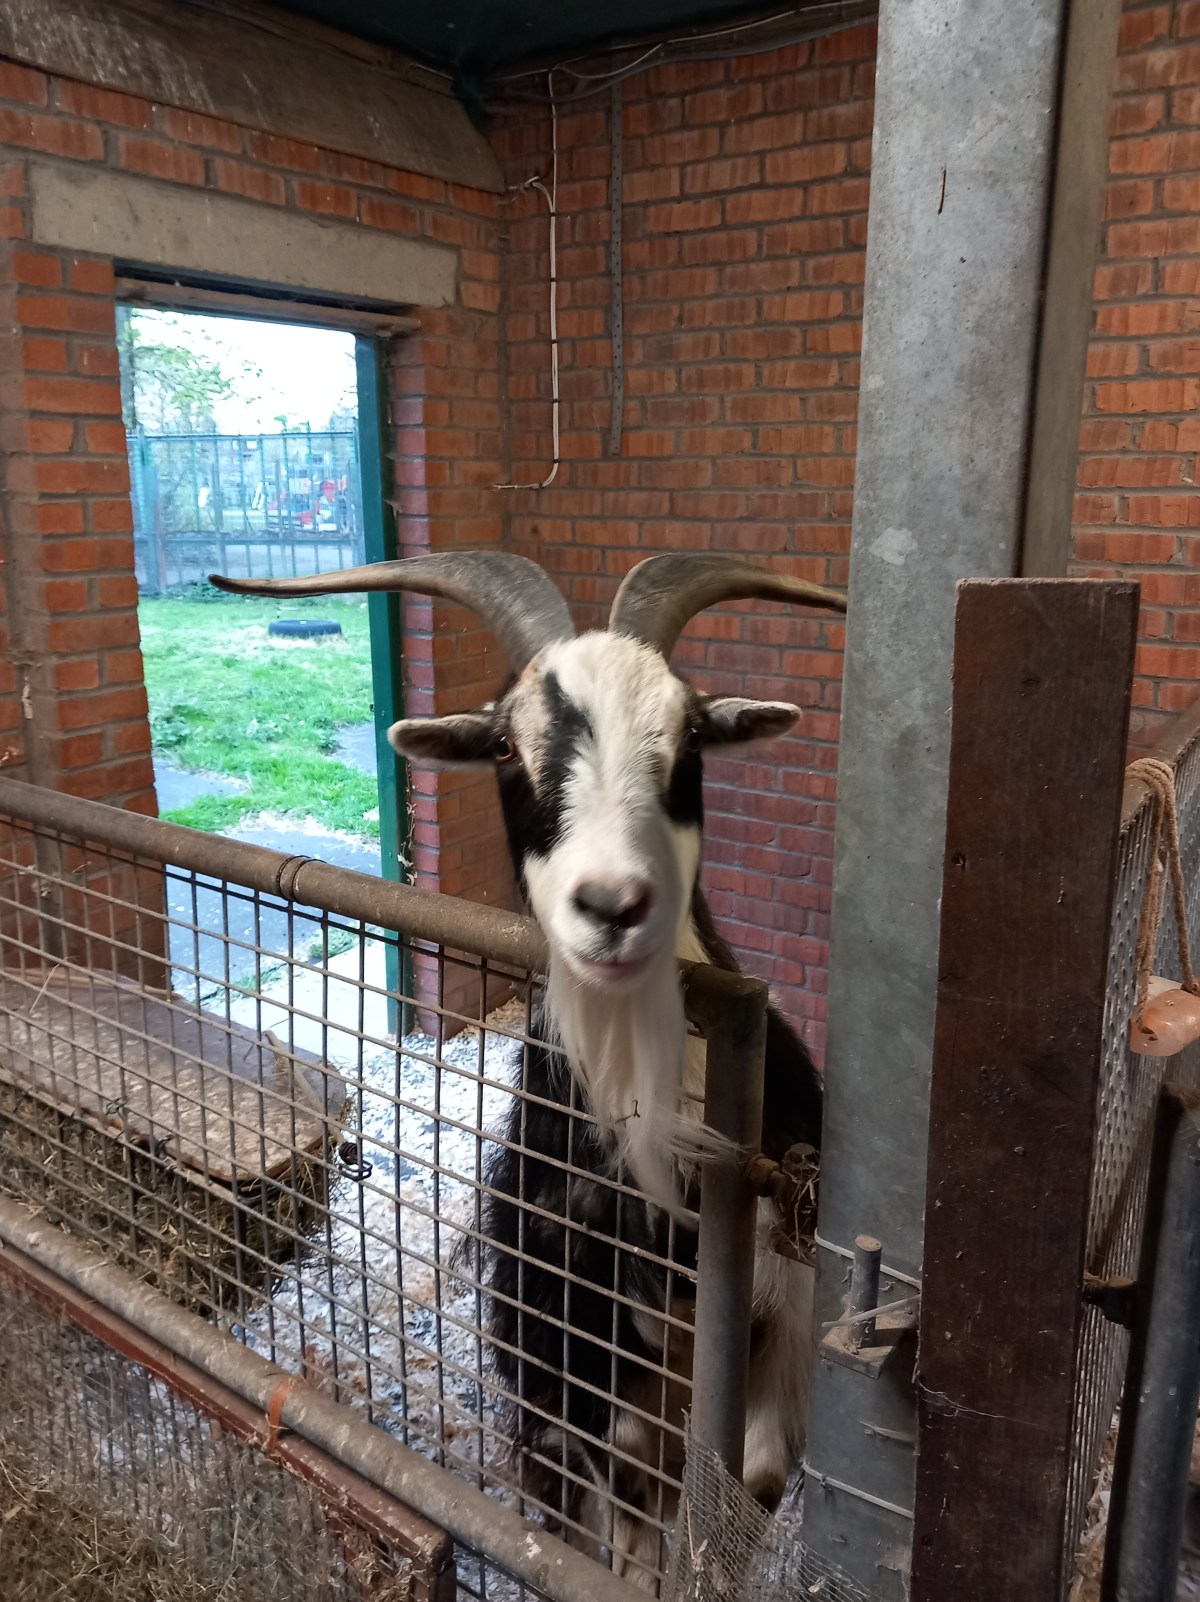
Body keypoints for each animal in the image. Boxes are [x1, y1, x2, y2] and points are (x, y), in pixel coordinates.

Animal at [210, 552, 846, 1587]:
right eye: (508, 748)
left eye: (692, 735)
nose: (614, 905)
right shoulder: (576, 1356)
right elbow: (624, 1511)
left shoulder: (779, 1336)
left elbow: (743, 1487)